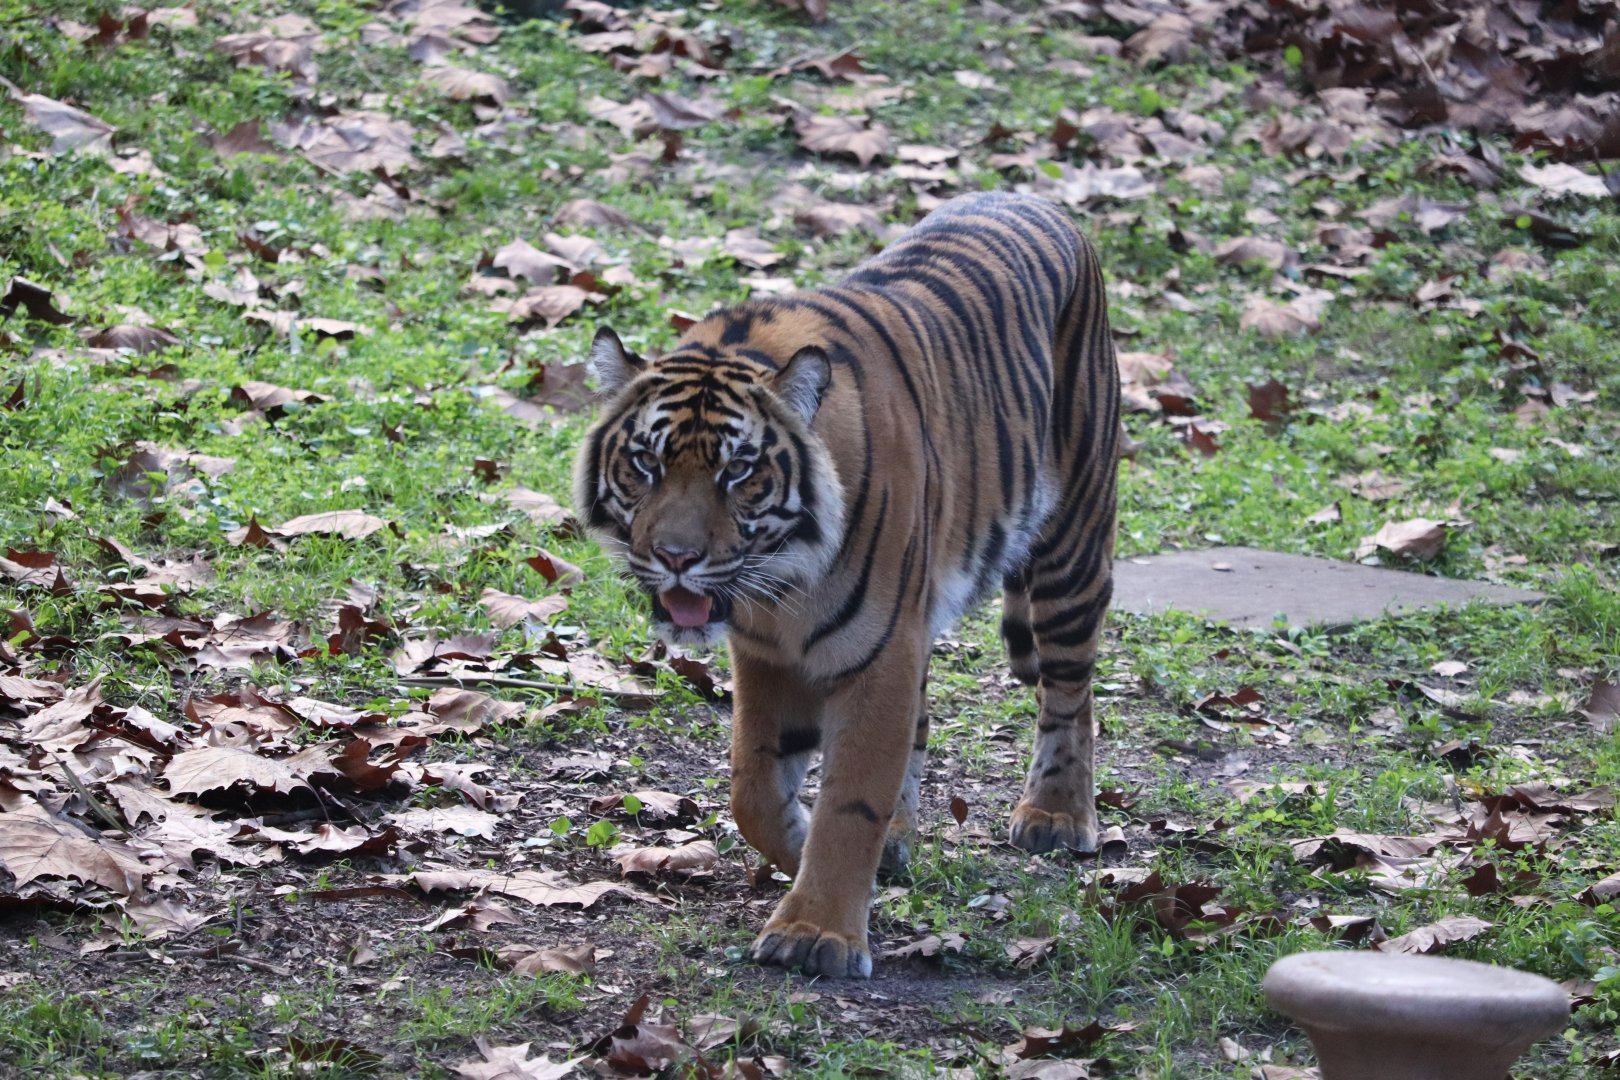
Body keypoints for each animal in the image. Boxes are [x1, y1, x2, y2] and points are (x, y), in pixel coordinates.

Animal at [573, 190, 1120, 978]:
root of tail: (1041, 197)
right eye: (645, 463)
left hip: (1071, 545)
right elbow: (753, 790)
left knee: (1070, 690)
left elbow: (851, 798)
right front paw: (809, 851)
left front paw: (817, 932)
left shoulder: (878, 653)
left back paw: (1056, 813)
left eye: (738, 471)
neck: (781, 581)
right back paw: (903, 839)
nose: (676, 557)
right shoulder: (768, 656)